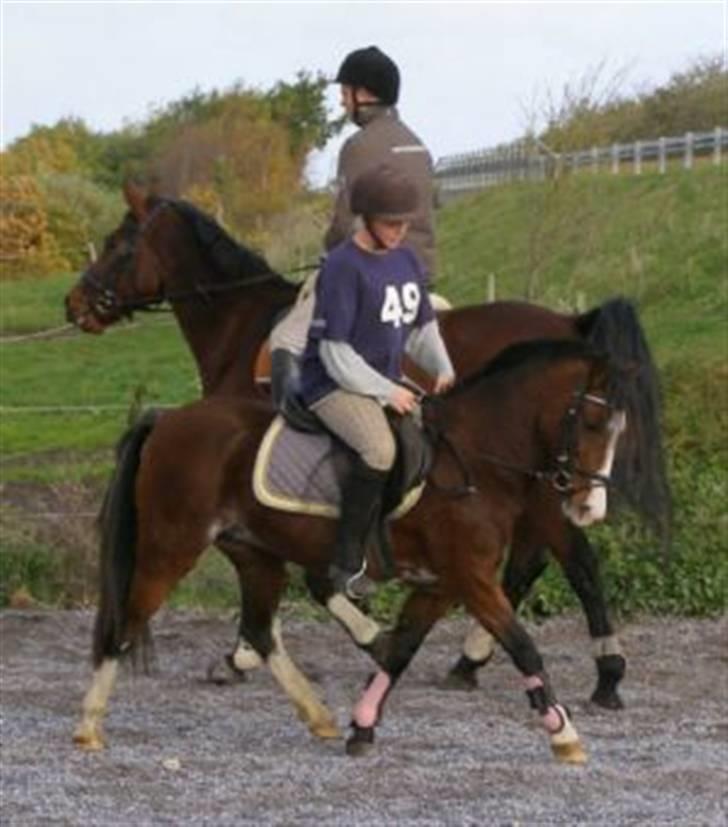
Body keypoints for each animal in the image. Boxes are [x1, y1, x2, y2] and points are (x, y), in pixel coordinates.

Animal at [65, 189, 668, 712]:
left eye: (119, 244)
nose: (74, 304)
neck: (244, 326)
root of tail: (568, 321)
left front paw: (247, 654)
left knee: (570, 560)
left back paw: (591, 669)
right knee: (540, 560)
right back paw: (487, 660)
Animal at [75, 336, 624, 764]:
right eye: (593, 424)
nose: (590, 507)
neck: (476, 461)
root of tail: (167, 420)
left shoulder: (442, 584)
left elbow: (400, 651)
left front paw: (362, 726)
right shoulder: (471, 578)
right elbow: (523, 646)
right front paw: (565, 735)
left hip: (256, 554)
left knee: (260, 629)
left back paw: (319, 716)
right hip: (171, 546)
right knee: (125, 622)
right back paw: (89, 727)